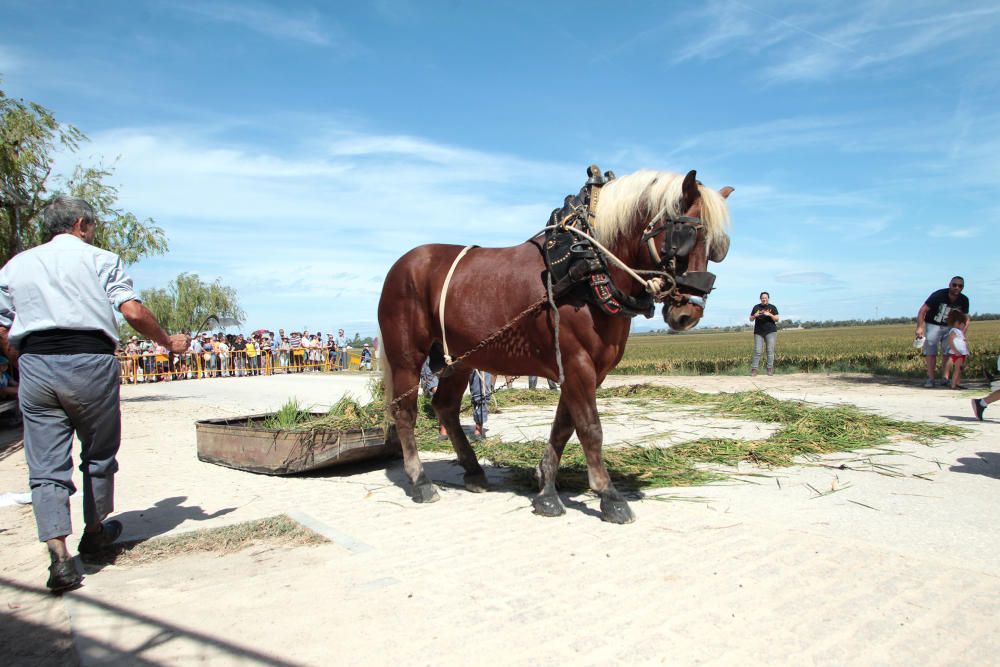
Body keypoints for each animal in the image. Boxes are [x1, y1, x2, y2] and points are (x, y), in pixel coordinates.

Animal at [378, 167, 732, 520]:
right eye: (684, 237)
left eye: (717, 247)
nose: (688, 313)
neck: (588, 269)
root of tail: (400, 266)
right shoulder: (577, 363)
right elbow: (589, 428)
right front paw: (609, 495)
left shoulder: (586, 371)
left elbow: (563, 427)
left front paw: (546, 489)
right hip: (407, 358)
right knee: (405, 412)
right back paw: (420, 480)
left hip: (460, 360)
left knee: (446, 407)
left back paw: (474, 471)